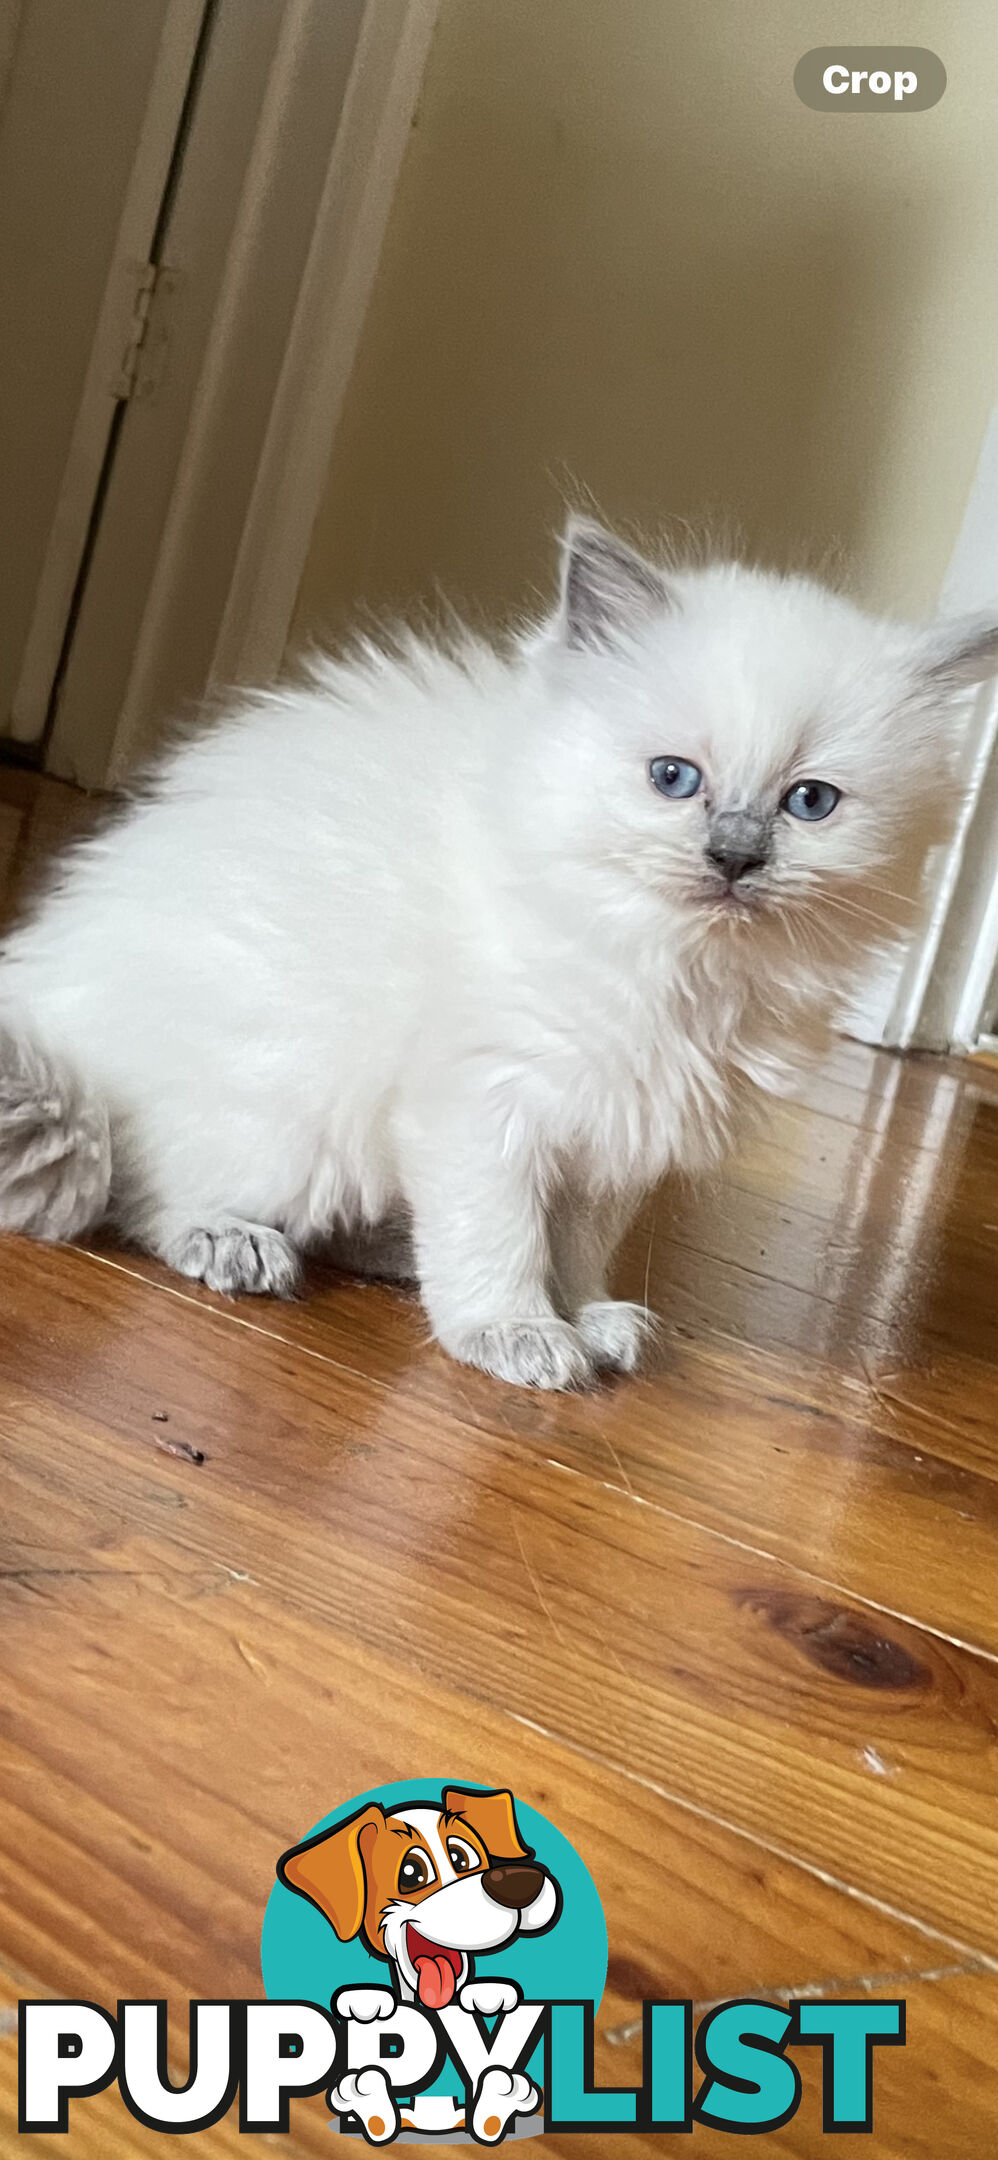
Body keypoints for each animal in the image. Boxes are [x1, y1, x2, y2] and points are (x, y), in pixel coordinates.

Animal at [1, 522, 998, 1399]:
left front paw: (586, 1318)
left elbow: (576, 1247)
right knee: (140, 1189)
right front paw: (517, 1332)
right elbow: (499, 1236)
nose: (735, 857)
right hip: (285, 1121)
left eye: (810, 803)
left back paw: (390, 1257)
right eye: (673, 779)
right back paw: (234, 1242)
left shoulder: (615, 1131)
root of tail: (49, 993)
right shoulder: (487, 1103)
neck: (677, 965)